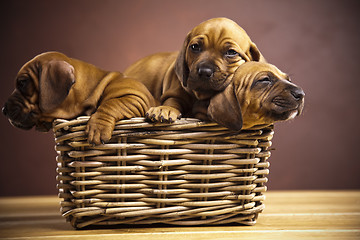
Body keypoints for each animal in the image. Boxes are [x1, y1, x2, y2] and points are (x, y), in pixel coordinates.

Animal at [124, 17, 264, 122]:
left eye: (231, 52)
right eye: (195, 47)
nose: (205, 72)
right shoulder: (174, 92)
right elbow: (172, 101)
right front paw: (165, 109)